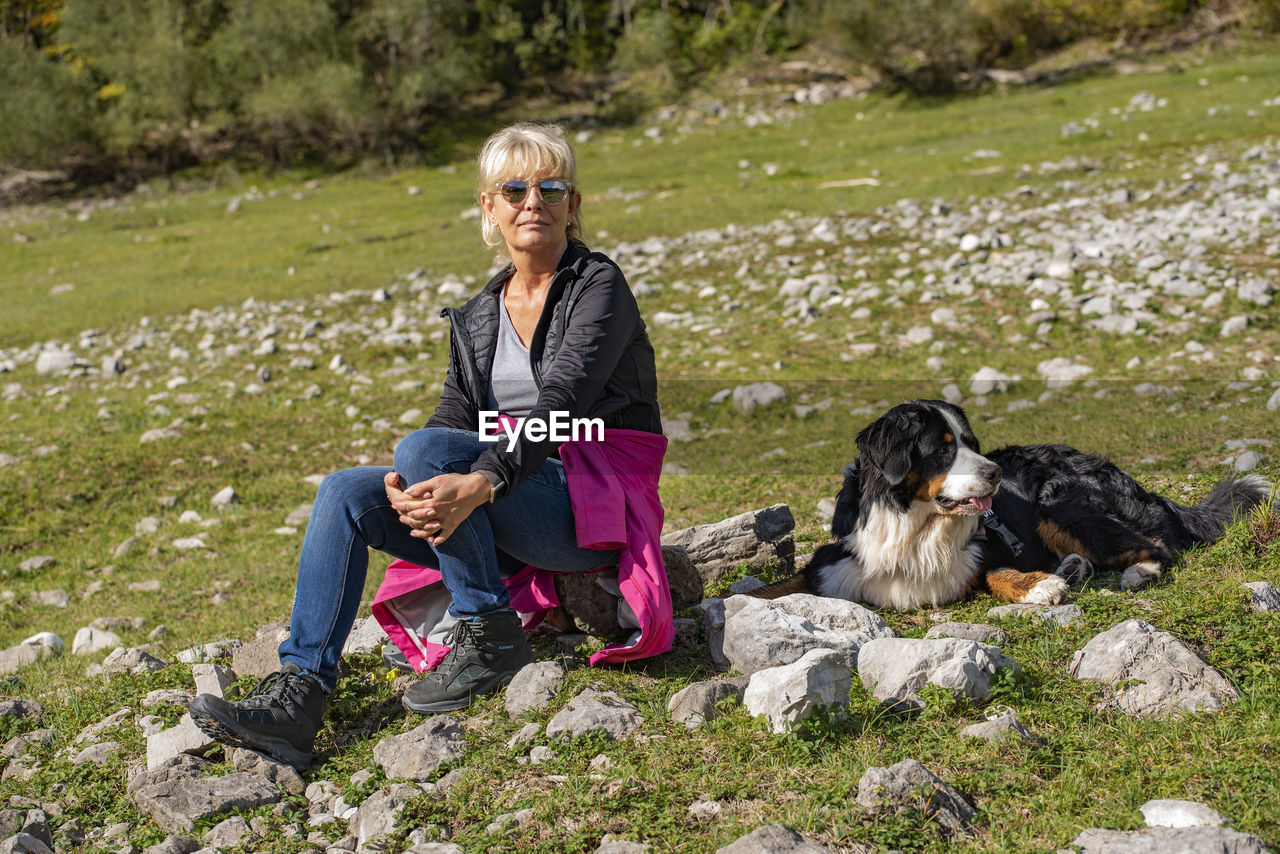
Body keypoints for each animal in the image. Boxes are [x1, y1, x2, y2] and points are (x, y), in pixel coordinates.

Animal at [747, 396, 1269, 612]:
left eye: (972, 443)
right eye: (943, 449)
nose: (995, 475)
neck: (914, 526)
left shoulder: (987, 548)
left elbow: (997, 572)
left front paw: (1037, 587)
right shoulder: (836, 560)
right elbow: (778, 586)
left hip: (1060, 505)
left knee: (1157, 545)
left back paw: (1131, 574)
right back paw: (1073, 569)